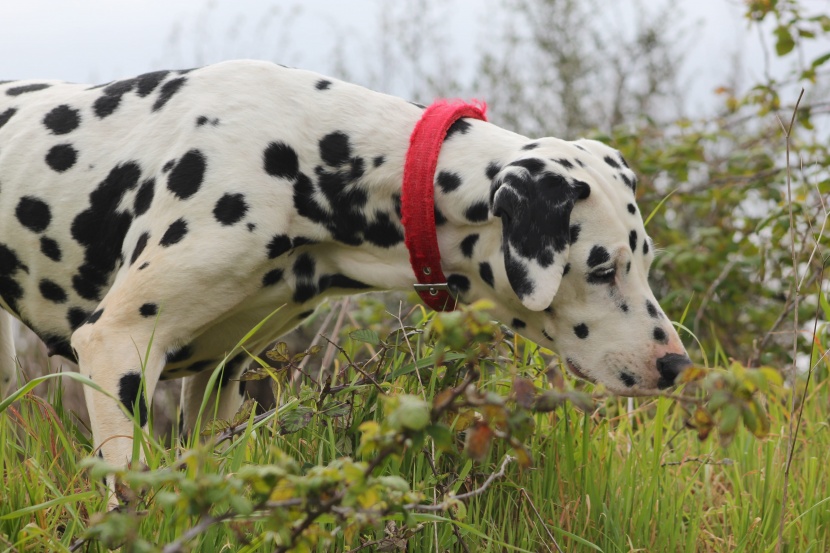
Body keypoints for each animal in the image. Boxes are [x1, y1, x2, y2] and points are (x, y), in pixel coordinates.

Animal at [0, 59, 688, 504]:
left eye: (644, 259)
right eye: (601, 268)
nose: (678, 365)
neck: (303, 155)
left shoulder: (221, 375)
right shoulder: (117, 346)